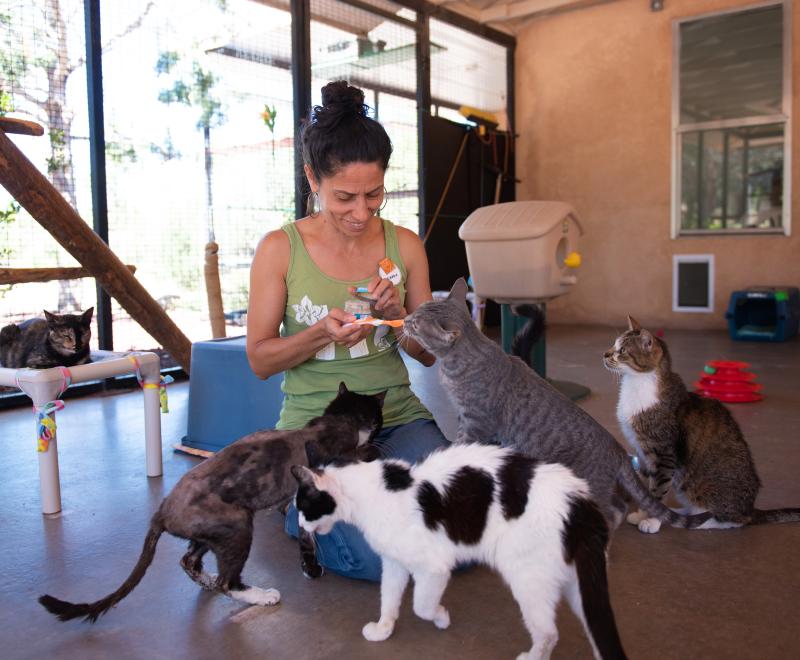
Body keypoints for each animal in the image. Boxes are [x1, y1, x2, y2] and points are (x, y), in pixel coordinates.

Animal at [294, 444, 632, 660]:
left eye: (303, 507)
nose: (297, 523)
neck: (372, 493)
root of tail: (581, 503)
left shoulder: (433, 568)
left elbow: (421, 606)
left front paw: (441, 617)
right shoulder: (394, 563)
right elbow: (388, 599)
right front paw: (383, 629)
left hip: (528, 580)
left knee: (549, 633)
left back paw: (532, 657)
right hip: (581, 586)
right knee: (595, 631)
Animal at [404, 278, 708, 532]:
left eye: (416, 323)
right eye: (415, 311)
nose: (405, 318)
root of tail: (619, 451)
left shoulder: (476, 421)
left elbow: (460, 443)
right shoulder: (467, 418)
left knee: (612, 510)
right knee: (619, 506)